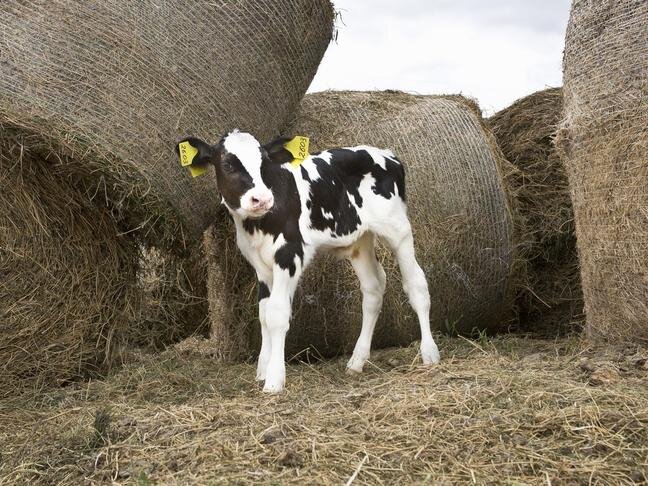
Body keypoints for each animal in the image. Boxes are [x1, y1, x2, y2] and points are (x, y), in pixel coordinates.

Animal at [177, 131, 440, 392]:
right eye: (228, 164)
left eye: (264, 161)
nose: (261, 199)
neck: (257, 225)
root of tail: (387, 154)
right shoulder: (260, 266)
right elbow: (263, 313)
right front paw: (263, 369)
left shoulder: (289, 254)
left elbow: (277, 314)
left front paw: (274, 379)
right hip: (360, 240)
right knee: (373, 288)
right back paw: (357, 360)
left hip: (398, 229)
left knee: (416, 284)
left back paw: (429, 353)